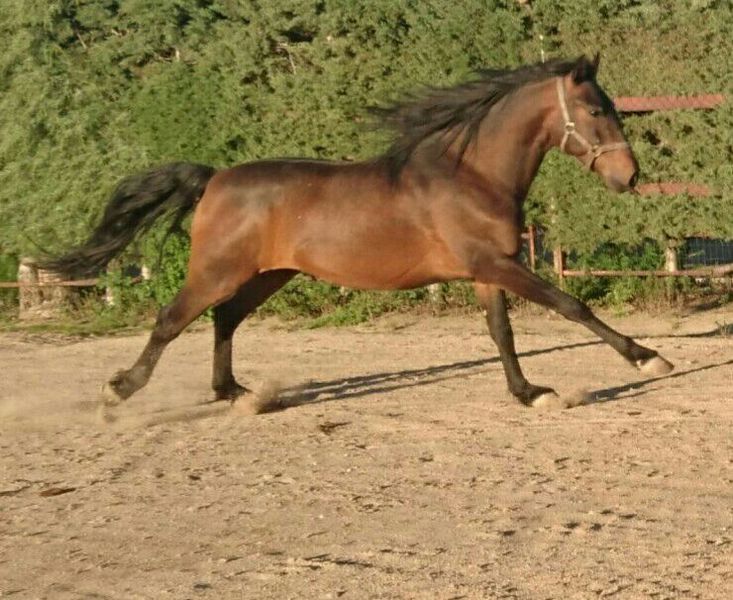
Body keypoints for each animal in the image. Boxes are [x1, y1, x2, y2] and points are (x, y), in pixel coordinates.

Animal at [46, 54, 673, 409]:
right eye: (596, 110)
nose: (629, 176)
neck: (470, 175)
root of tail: (214, 178)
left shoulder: (486, 270)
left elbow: (501, 333)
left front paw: (528, 394)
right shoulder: (498, 264)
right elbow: (571, 306)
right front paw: (648, 359)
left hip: (268, 274)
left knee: (224, 320)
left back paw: (237, 395)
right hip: (218, 270)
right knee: (171, 319)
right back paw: (120, 389)